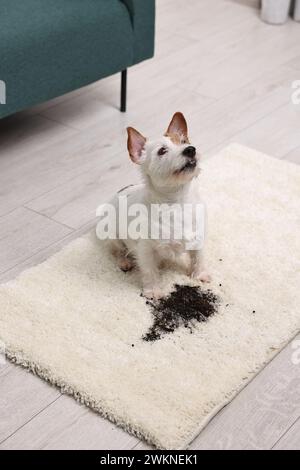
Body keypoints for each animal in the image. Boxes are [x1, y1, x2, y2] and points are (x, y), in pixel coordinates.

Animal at [106, 112, 210, 300]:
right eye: (162, 151)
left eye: (184, 141)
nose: (191, 149)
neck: (177, 202)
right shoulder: (146, 250)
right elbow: (149, 271)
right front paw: (153, 290)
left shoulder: (198, 238)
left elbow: (199, 257)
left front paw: (200, 275)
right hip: (113, 236)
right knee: (117, 250)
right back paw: (124, 261)